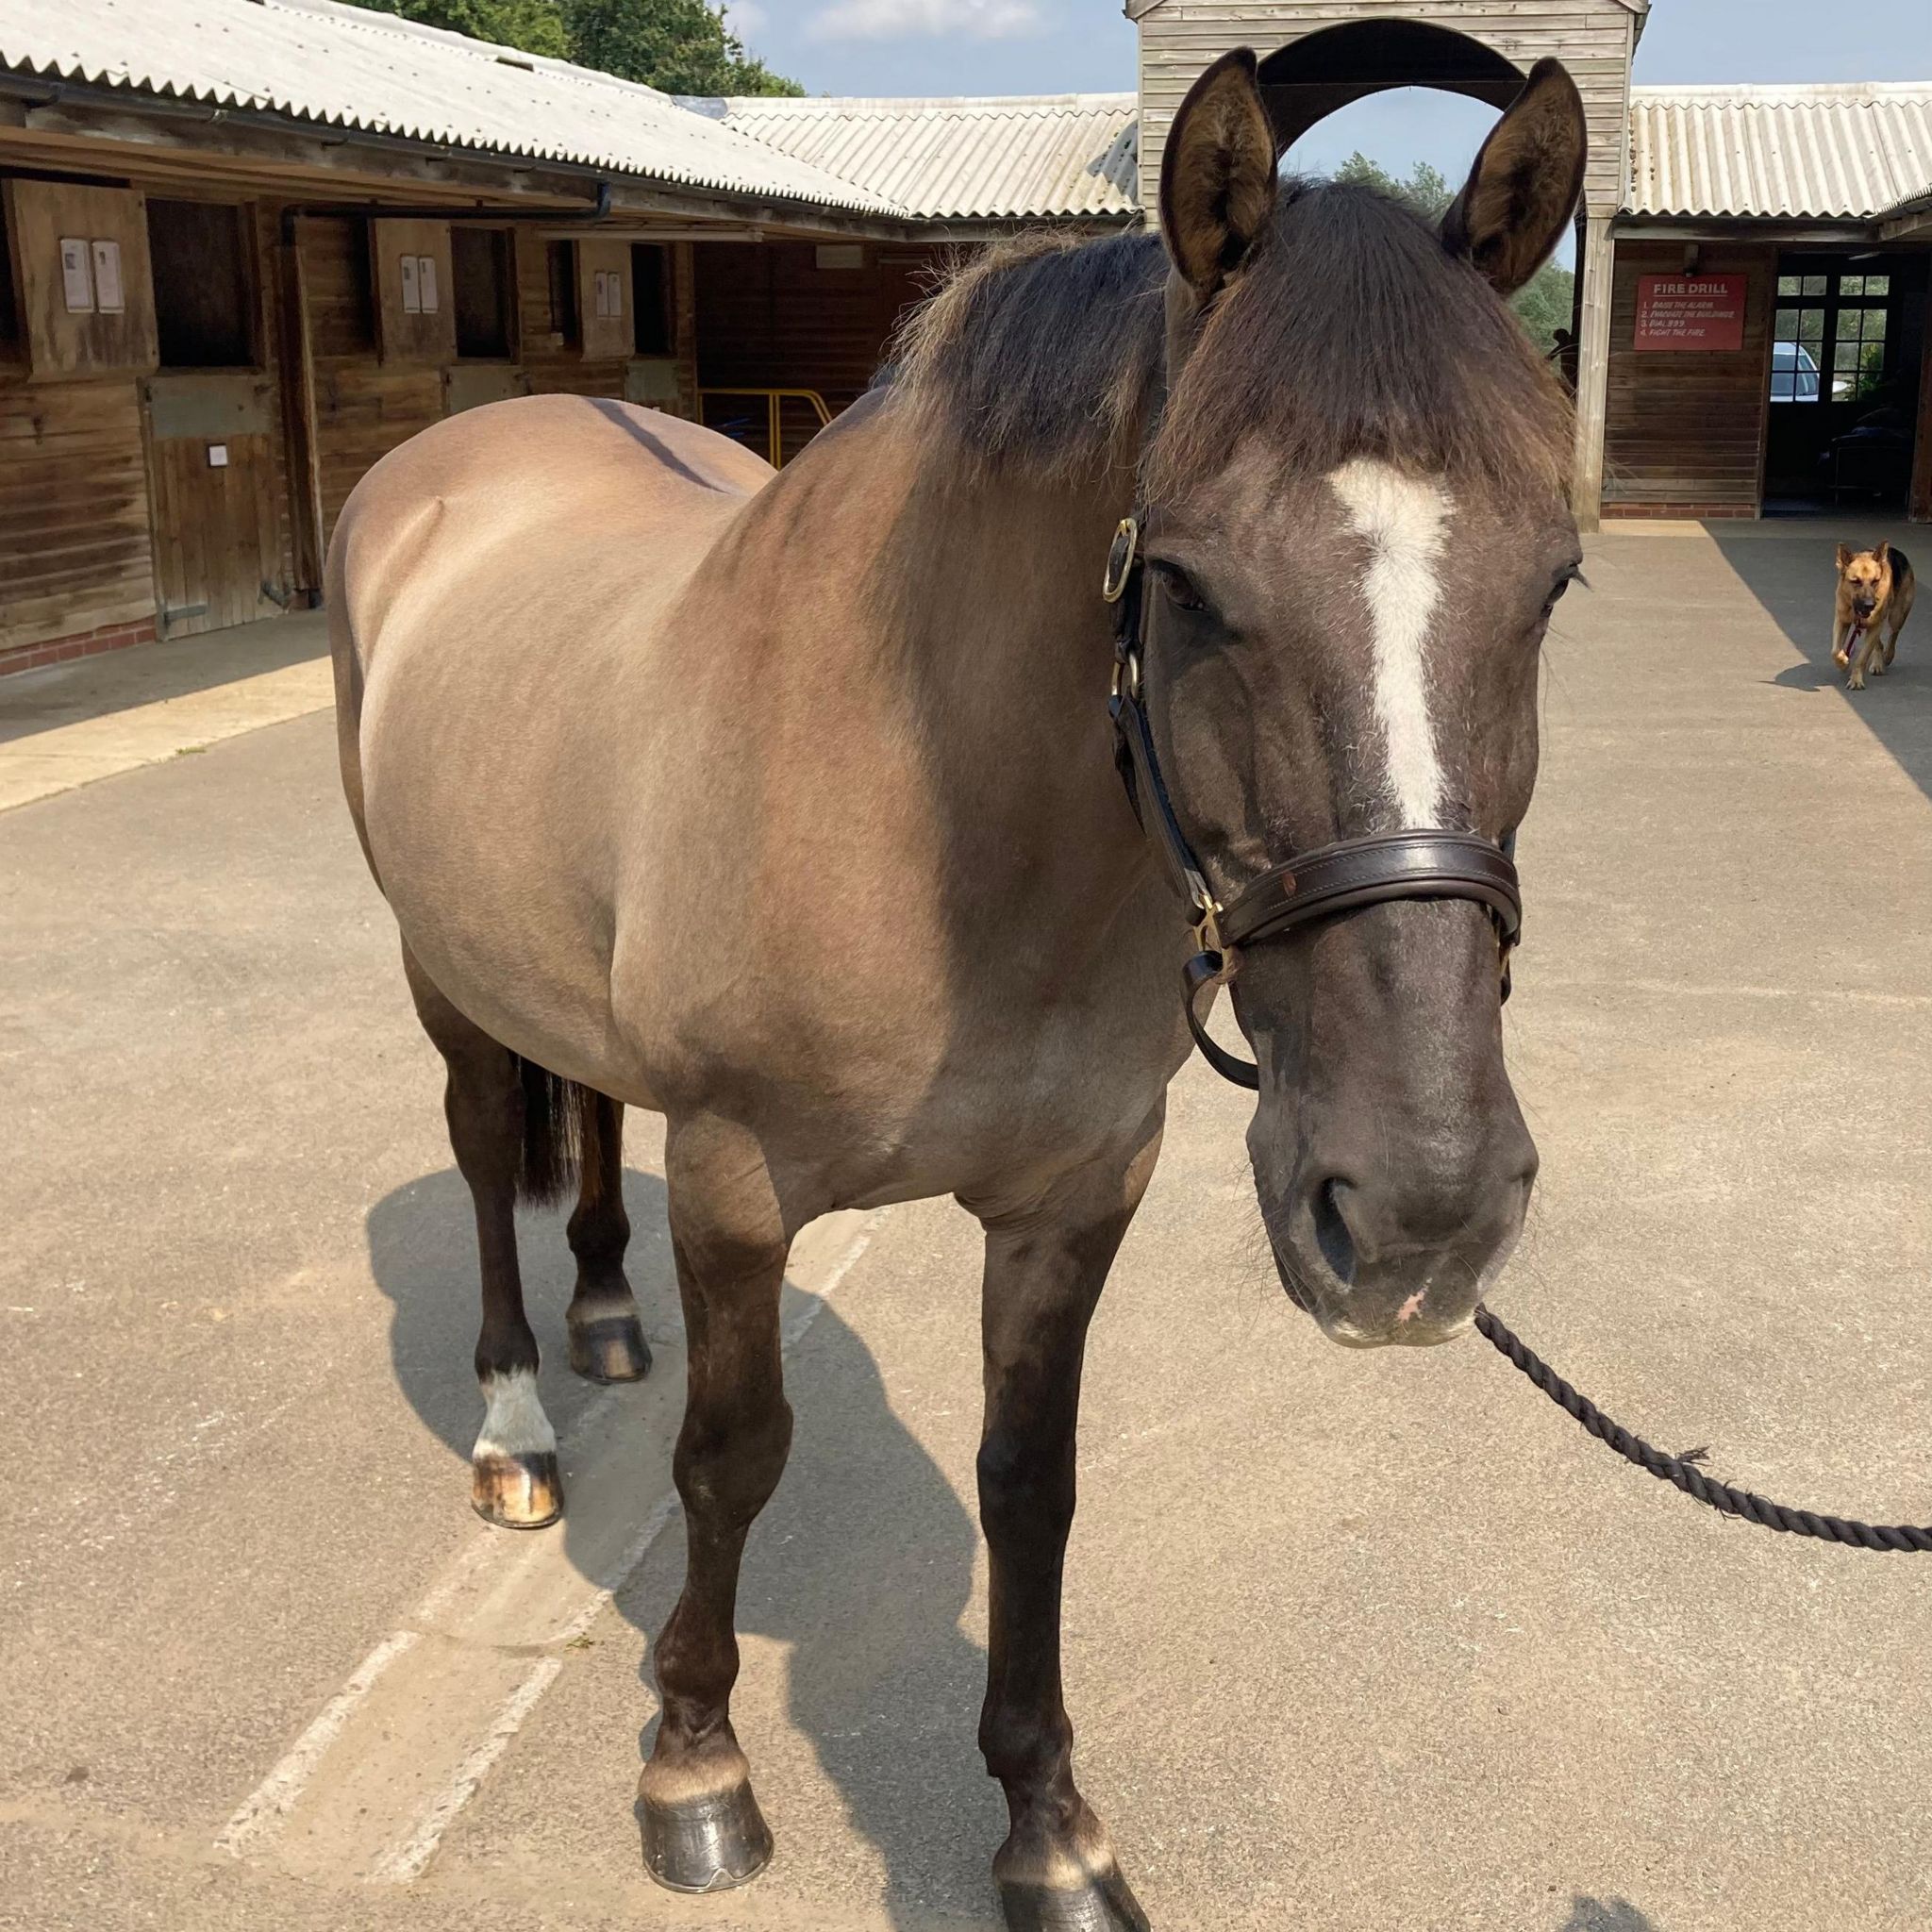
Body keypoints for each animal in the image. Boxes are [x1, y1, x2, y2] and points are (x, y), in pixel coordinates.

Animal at [332, 48, 1591, 1932]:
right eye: (1186, 582)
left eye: (1553, 581)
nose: (1423, 1219)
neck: (936, 822)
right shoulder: (736, 1182)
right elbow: (732, 1458)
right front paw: (695, 1762)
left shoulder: (1077, 1196)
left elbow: (1030, 1483)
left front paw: (1046, 1823)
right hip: (439, 966)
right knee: (491, 1153)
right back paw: (514, 1425)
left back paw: (608, 1315)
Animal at [1831, 541, 1908, 691]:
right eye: (1856, 581)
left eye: (1875, 581)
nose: (1870, 605)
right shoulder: (1841, 621)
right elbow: (1835, 651)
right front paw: (1843, 661)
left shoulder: (1875, 625)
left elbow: (1861, 659)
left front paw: (1856, 680)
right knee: (1879, 643)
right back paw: (1878, 663)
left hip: (1896, 616)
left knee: (1893, 634)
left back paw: (1887, 656)